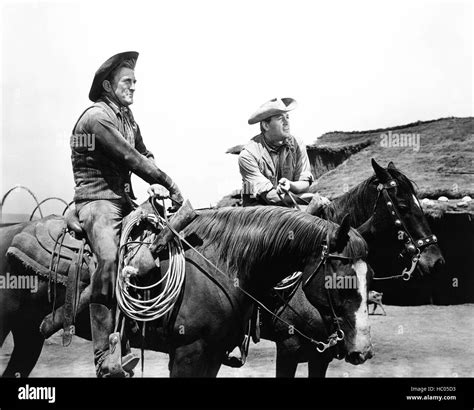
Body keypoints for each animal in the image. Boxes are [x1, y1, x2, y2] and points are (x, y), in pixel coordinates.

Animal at [0, 205, 372, 378]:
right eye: (341, 282)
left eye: (370, 278)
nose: (362, 351)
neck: (224, 262)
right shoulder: (188, 354)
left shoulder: (212, 356)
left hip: (27, 336)